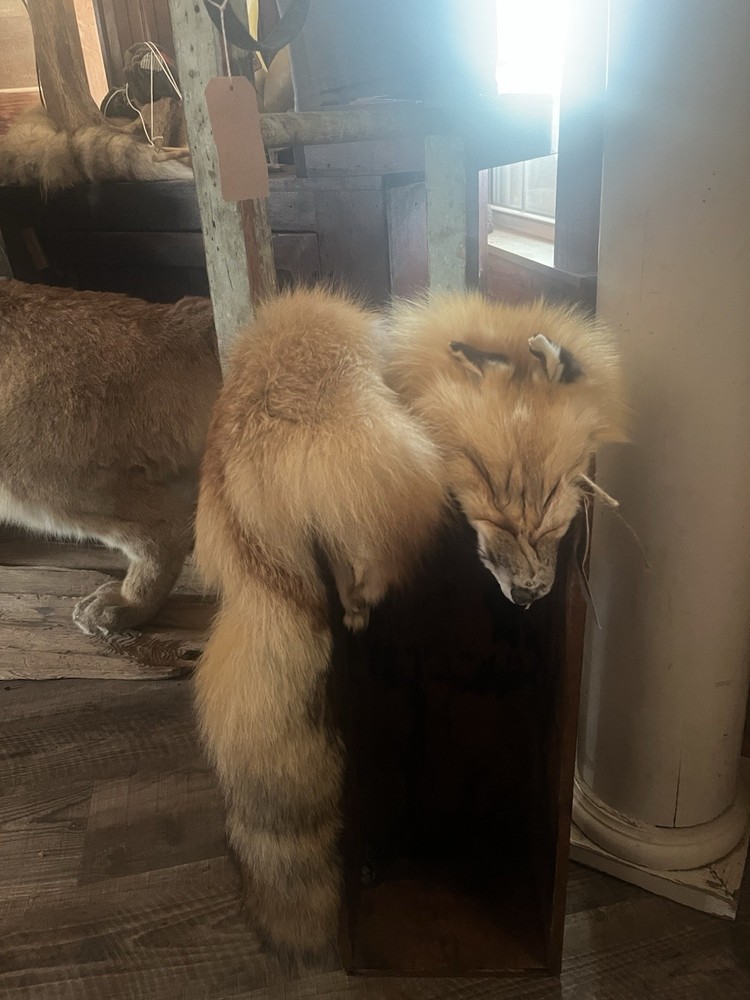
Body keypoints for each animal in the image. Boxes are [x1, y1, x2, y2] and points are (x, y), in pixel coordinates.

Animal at [194, 287, 627, 970]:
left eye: (553, 510)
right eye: (491, 505)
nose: (529, 597)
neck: (409, 369)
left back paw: (353, 608)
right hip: (385, 442)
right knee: (365, 563)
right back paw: (361, 598)